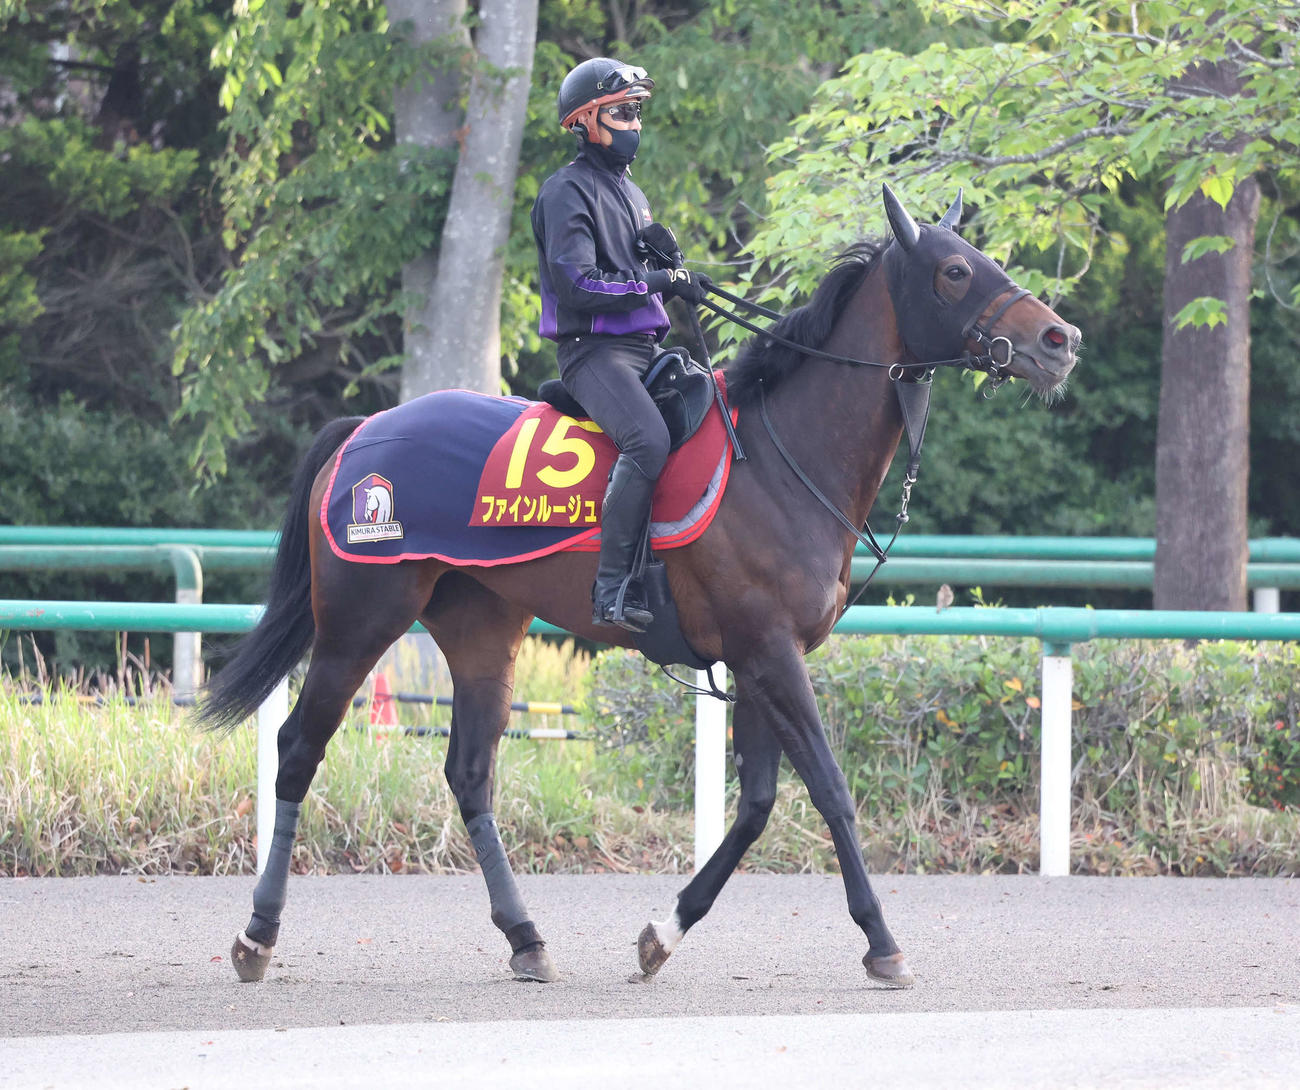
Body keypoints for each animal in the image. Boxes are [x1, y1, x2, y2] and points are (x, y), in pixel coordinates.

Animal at [200, 184, 1080, 988]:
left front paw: (665, 931)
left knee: (470, 775)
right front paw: (882, 941)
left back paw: (525, 937)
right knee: (297, 750)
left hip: (483, 632)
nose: (1059, 339)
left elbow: (757, 805)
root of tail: (367, 431)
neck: (781, 457)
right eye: (956, 270)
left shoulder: (759, 659)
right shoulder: (770, 654)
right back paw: (256, 935)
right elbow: (830, 790)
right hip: (360, 621)